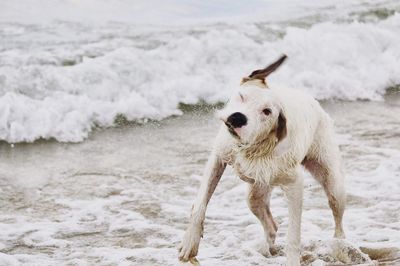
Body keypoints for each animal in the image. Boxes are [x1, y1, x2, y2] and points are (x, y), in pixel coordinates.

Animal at [179, 55, 346, 264]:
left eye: (267, 111)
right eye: (242, 96)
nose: (238, 118)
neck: (252, 146)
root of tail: (313, 100)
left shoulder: (294, 185)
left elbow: (293, 236)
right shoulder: (218, 158)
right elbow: (200, 204)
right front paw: (190, 241)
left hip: (332, 181)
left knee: (337, 215)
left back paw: (340, 245)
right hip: (255, 195)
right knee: (270, 224)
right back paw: (267, 249)